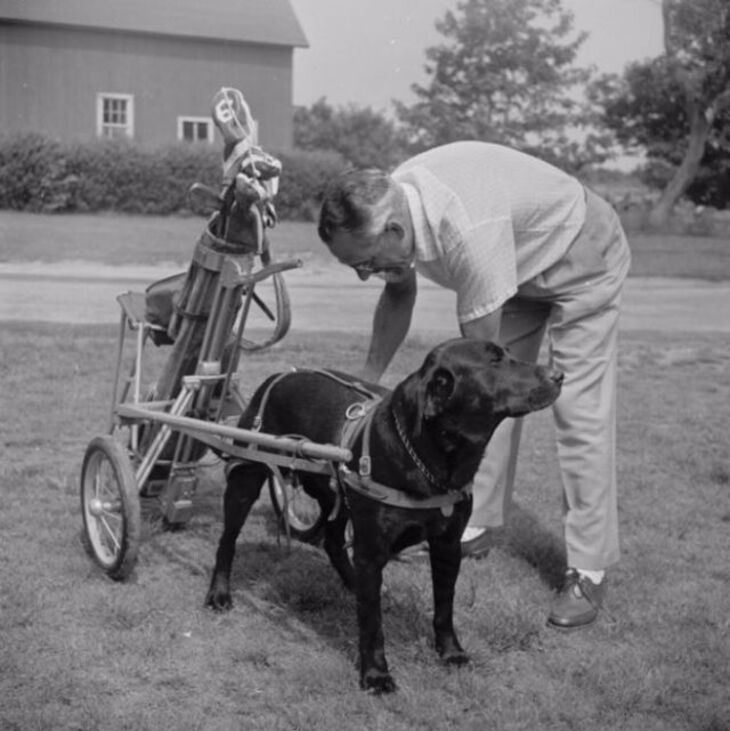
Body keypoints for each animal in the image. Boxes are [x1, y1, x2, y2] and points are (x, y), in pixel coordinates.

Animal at [206, 338, 564, 692]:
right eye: (495, 362)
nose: (559, 375)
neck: (429, 457)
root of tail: (280, 374)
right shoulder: (373, 548)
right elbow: (372, 622)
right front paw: (376, 674)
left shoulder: (447, 546)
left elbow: (444, 607)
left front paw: (450, 652)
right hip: (246, 477)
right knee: (228, 540)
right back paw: (219, 594)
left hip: (334, 492)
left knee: (333, 543)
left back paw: (353, 582)